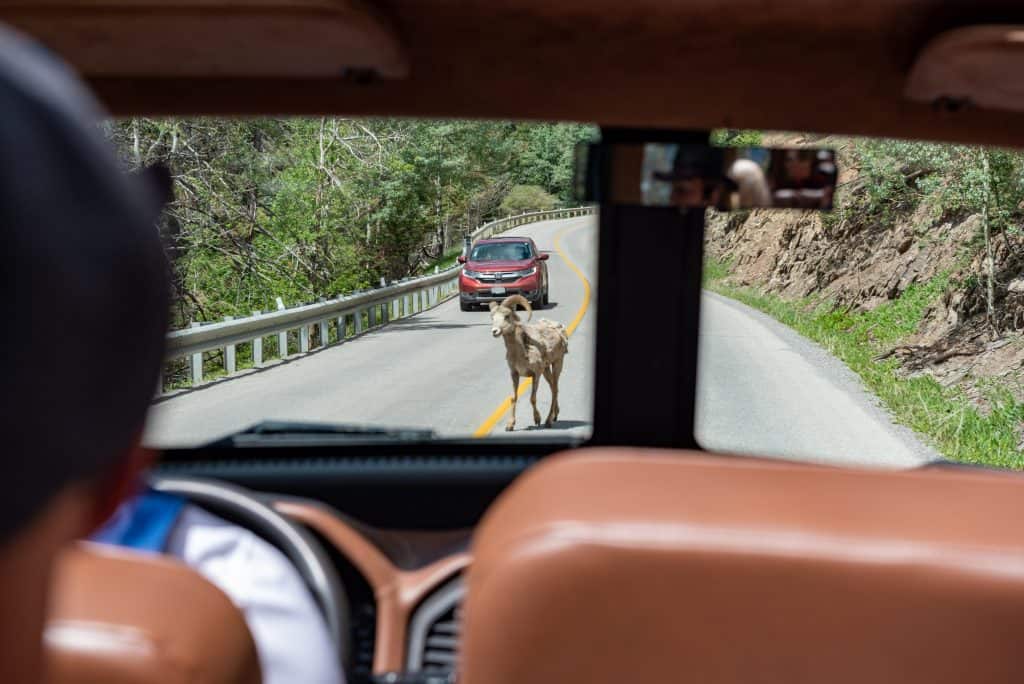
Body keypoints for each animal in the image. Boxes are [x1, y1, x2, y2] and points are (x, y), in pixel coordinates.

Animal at [488, 294, 569, 431]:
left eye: (506, 316)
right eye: (492, 317)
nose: (495, 331)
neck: (521, 352)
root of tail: (559, 330)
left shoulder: (536, 374)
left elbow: (532, 398)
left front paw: (537, 420)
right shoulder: (514, 374)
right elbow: (513, 398)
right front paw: (510, 425)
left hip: (557, 364)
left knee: (555, 390)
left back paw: (548, 421)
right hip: (546, 370)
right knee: (553, 387)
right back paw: (555, 415)